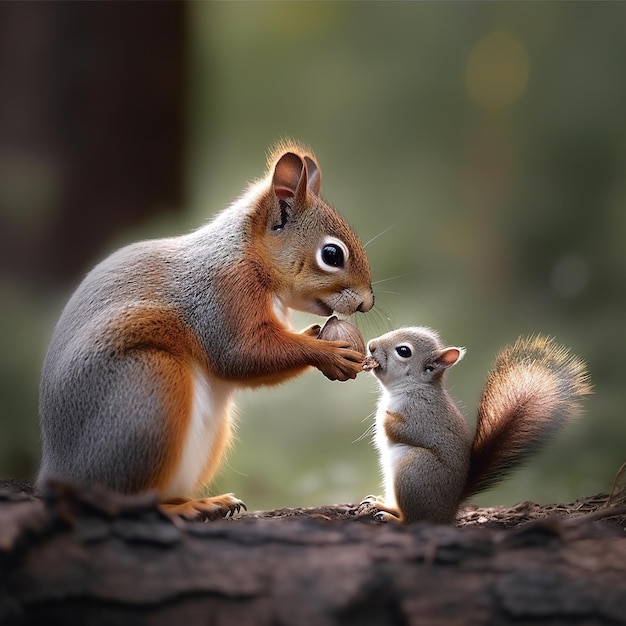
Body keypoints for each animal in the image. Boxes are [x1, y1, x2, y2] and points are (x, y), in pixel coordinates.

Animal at [39, 140, 372, 516]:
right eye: (332, 254)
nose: (367, 302)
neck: (250, 258)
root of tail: (54, 471)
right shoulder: (221, 298)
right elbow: (241, 355)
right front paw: (325, 351)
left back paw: (206, 501)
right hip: (146, 390)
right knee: (121, 497)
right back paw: (180, 508)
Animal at [360, 326, 588, 520]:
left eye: (404, 351)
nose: (371, 345)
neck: (410, 387)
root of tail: (451, 508)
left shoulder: (421, 414)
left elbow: (405, 430)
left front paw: (382, 418)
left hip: (416, 470)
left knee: (416, 519)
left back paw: (392, 518)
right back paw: (383, 504)